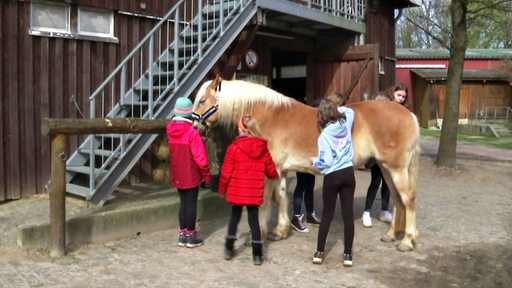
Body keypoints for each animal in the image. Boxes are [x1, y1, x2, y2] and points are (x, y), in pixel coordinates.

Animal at [192, 75, 420, 251]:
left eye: (202, 100)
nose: (195, 126)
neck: (269, 116)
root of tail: (408, 114)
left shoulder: (270, 170)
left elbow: (266, 200)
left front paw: (261, 234)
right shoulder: (280, 170)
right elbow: (280, 197)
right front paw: (280, 231)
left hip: (396, 168)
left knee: (407, 198)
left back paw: (407, 240)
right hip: (386, 168)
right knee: (397, 198)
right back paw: (392, 234)